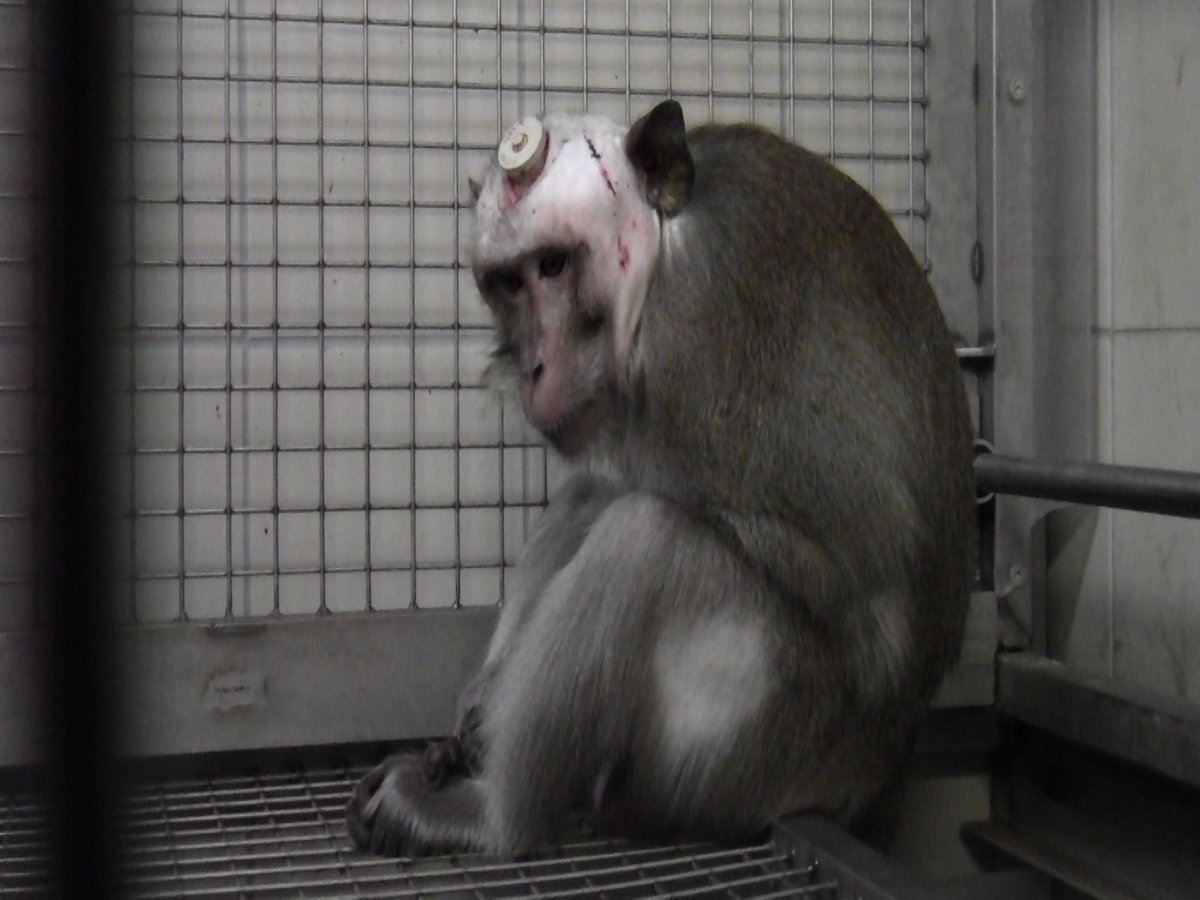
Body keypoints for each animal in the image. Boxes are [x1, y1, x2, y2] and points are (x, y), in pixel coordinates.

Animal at [346, 99, 976, 858]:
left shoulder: (704, 336)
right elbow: (601, 485)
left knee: (648, 537)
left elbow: (848, 557)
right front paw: (481, 704)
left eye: (553, 265)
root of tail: (880, 774)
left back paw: (495, 819)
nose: (531, 366)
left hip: (758, 757)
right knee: (598, 498)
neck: (663, 253)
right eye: (509, 282)